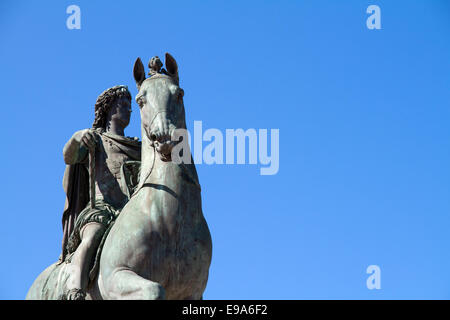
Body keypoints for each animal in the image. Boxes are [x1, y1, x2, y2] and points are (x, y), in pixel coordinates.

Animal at [26, 53, 213, 300]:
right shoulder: (116, 279)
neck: (169, 219)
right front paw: (85, 136)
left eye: (179, 94)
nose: (164, 137)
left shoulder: (192, 293)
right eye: (141, 100)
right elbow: (155, 289)